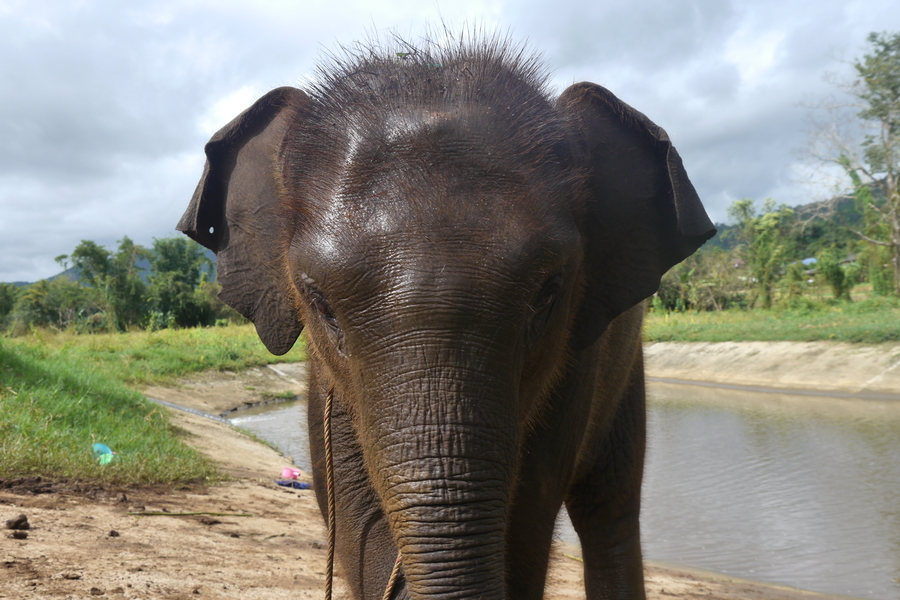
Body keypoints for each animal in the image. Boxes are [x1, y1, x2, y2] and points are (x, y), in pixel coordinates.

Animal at [178, 37, 712, 600]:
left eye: (549, 292)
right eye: (320, 302)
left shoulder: (575, 358)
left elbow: (528, 516)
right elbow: (353, 513)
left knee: (609, 507)